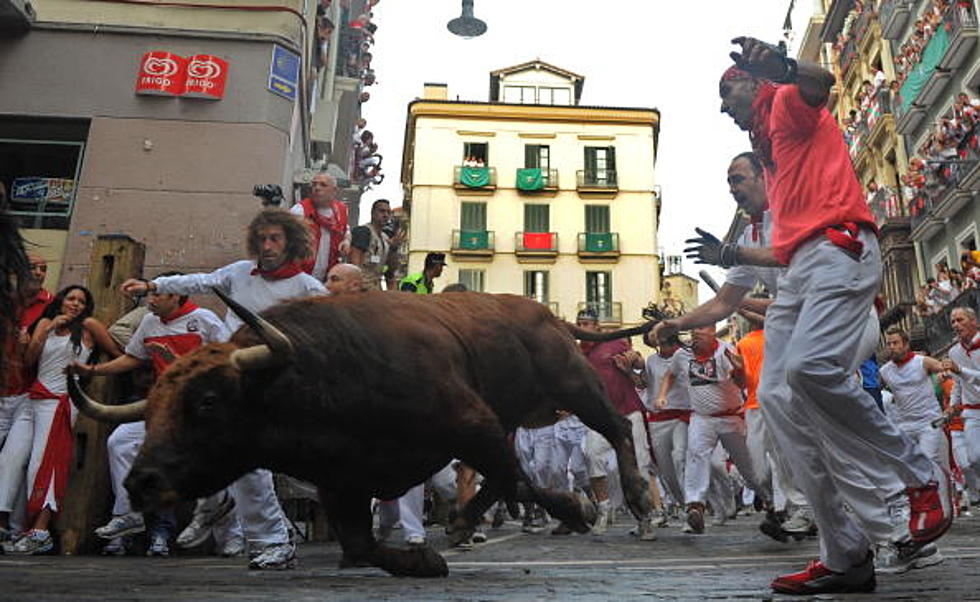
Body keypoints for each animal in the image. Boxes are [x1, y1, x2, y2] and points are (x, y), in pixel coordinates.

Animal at [71, 290, 660, 576]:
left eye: (209, 402)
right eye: (151, 412)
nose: (143, 482)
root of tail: (547, 315)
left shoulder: (472, 424)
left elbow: (516, 478)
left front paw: (574, 510)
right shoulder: (343, 481)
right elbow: (360, 543)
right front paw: (423, 560)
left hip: (573, 382)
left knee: (613, 430)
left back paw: (634, 498)